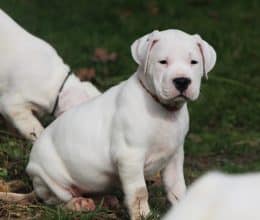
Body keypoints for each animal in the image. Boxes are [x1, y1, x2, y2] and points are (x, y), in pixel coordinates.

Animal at [0, 29, 215, 220]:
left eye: (194, 62)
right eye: (163, 62)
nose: (182, 81)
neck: (163, 110)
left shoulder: (174, 157)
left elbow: (177, 187)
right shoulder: (130, 157)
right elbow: (140, 191)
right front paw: (143, 215)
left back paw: (106, 200)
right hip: (48, 177)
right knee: (55, 201)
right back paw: (78, 203)